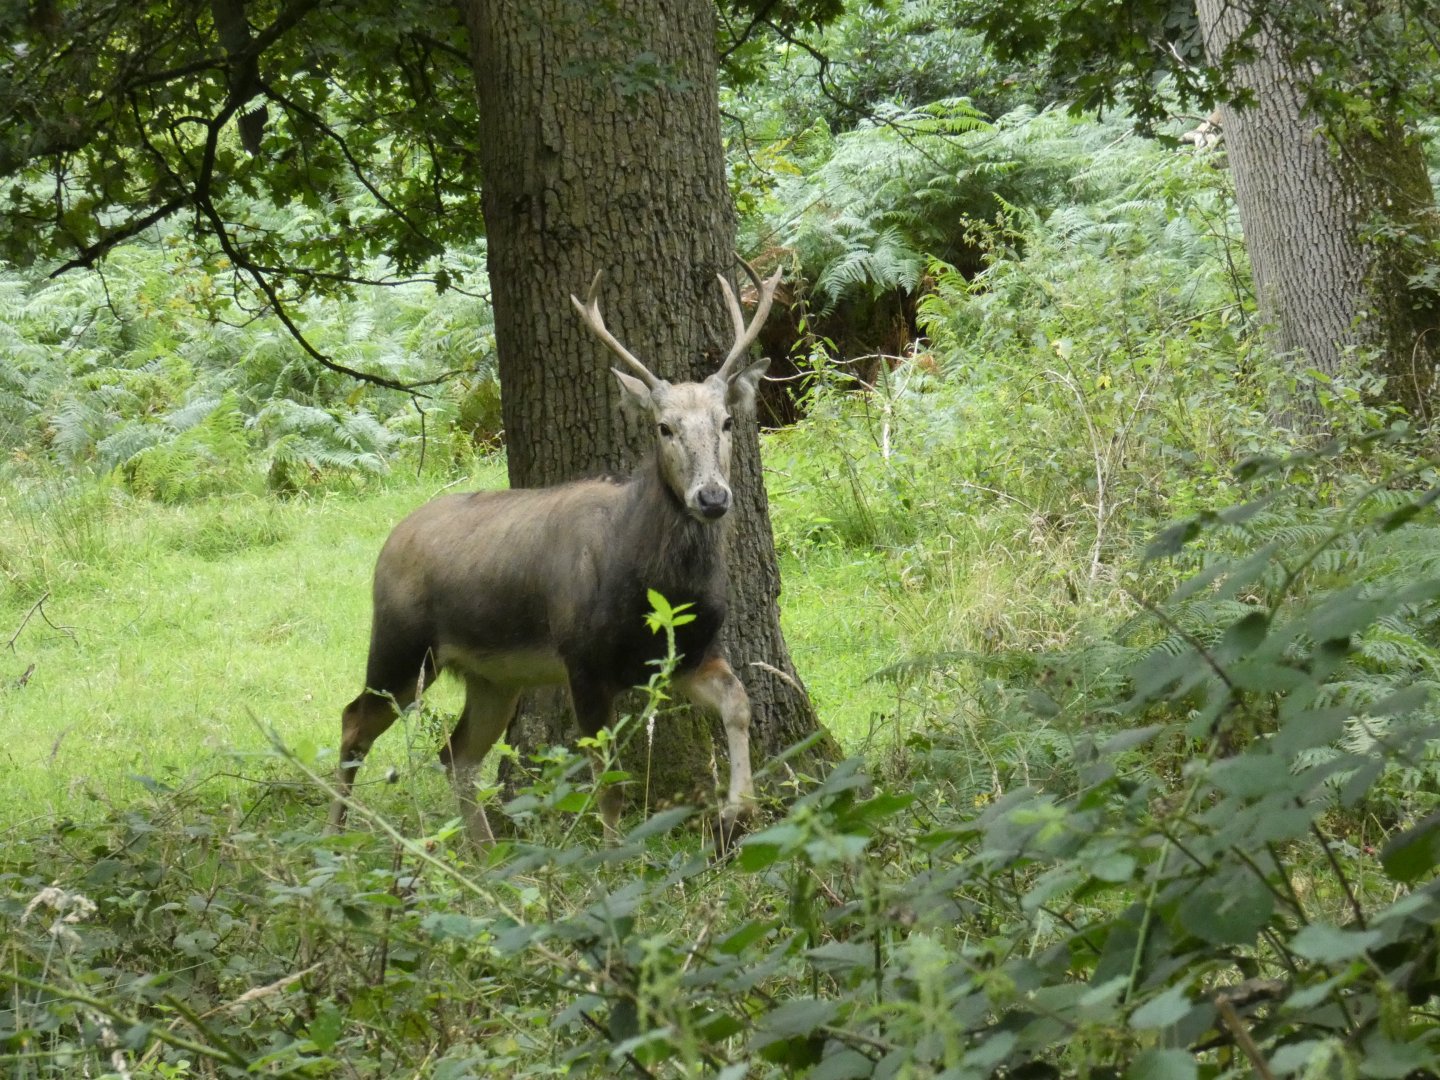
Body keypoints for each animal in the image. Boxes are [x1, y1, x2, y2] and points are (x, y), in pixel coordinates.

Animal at [327, 261, 781, 851]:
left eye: (726, 421)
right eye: (664, 427)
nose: (711, 497)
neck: (654, 587)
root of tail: (391, 540)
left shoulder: (686, 654)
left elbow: (739, 702)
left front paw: (737, 811)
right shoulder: (582, 660)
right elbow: (608, 784)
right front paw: (615, 860)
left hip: (492, 677)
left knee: (455, 753)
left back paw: (486, 854)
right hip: (401, 645)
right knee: (353, 721)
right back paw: (332, 840)